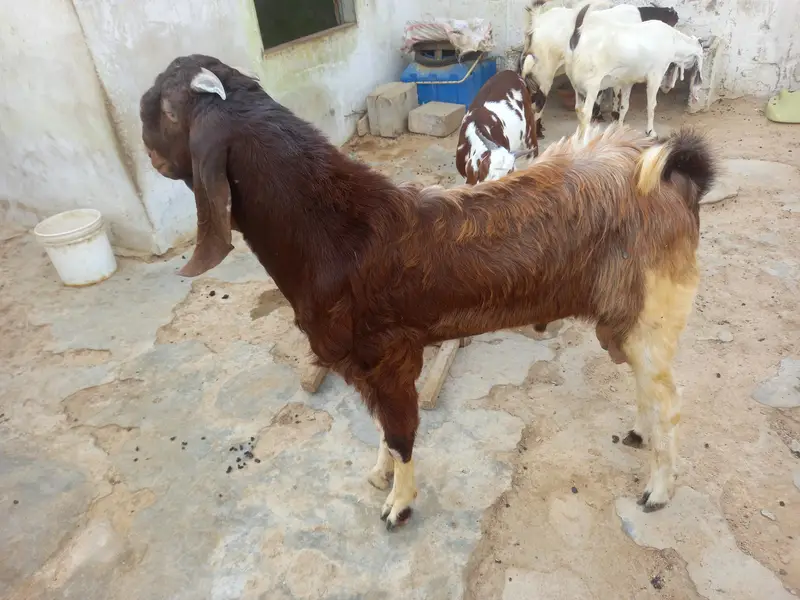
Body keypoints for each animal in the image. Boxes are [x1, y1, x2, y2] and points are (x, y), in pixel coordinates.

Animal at [140, 54, 717, 529]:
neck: (337, 231)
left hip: (655, 314)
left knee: (670, 401)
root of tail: (672, 174)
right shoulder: (370, 366)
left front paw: (398, 504)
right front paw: (380, 475)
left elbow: (401, 432)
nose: (146, 148)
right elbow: (382, 426)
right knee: (646, 387)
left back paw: (657, 491)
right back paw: (640, 435)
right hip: (623, 322)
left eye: (166, 110)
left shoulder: (391, 355)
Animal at [565, 3, 704, 136]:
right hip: (592, 86)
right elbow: (651, 105)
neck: (673, 41)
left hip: (577, 86)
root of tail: (577, 37)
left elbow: (624, 106)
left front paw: (619, 127)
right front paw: (650, 131)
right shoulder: (655, 77)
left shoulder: (628, 81)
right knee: (585, 113)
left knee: (578, 109)